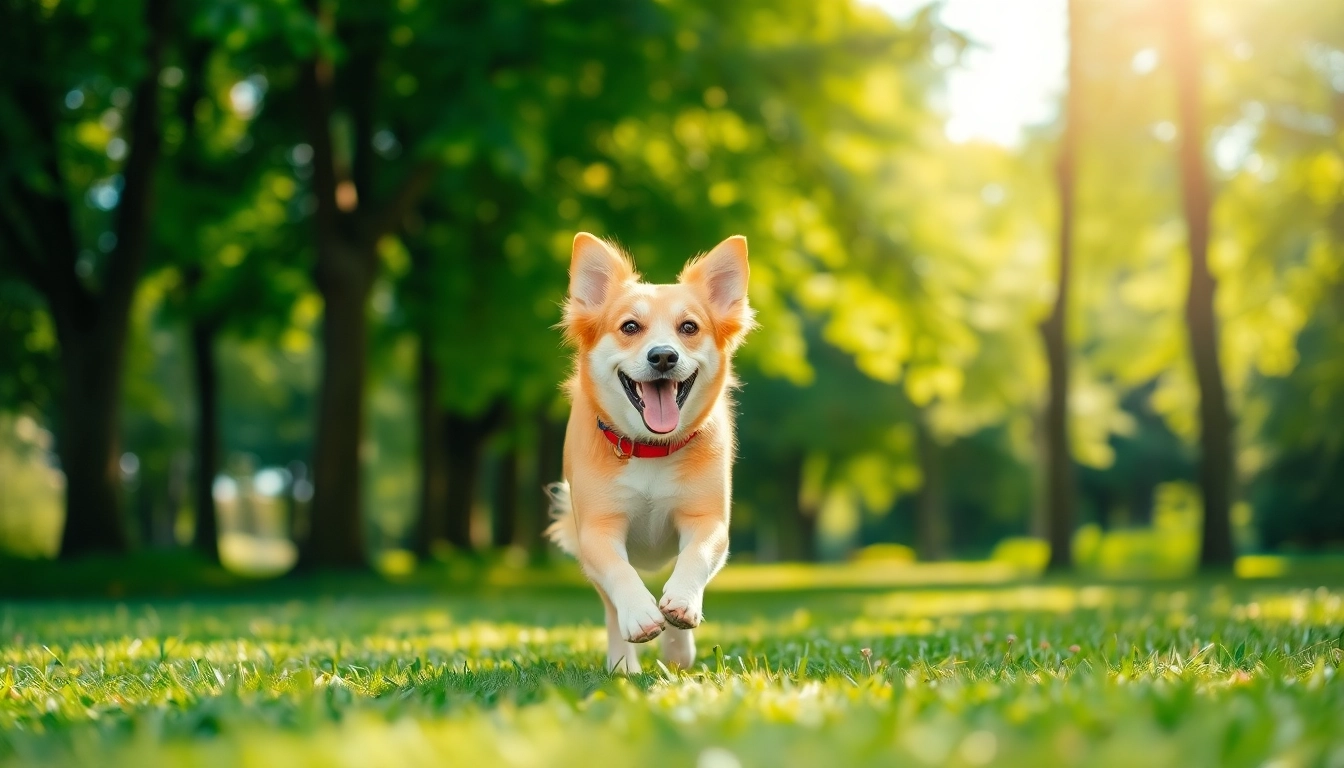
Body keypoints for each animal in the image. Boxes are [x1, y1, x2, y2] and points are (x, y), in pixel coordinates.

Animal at [545, 232, 758, 672]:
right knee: (611, 608)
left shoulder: (707, 519)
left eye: (689, 327)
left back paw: (677, 651)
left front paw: (680, 606)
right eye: (630, 326)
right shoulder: (597, 529)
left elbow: (695, 556)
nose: (663, 355)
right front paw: (641, 615)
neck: (650, 450)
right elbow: (619, 572)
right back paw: (622, 663)